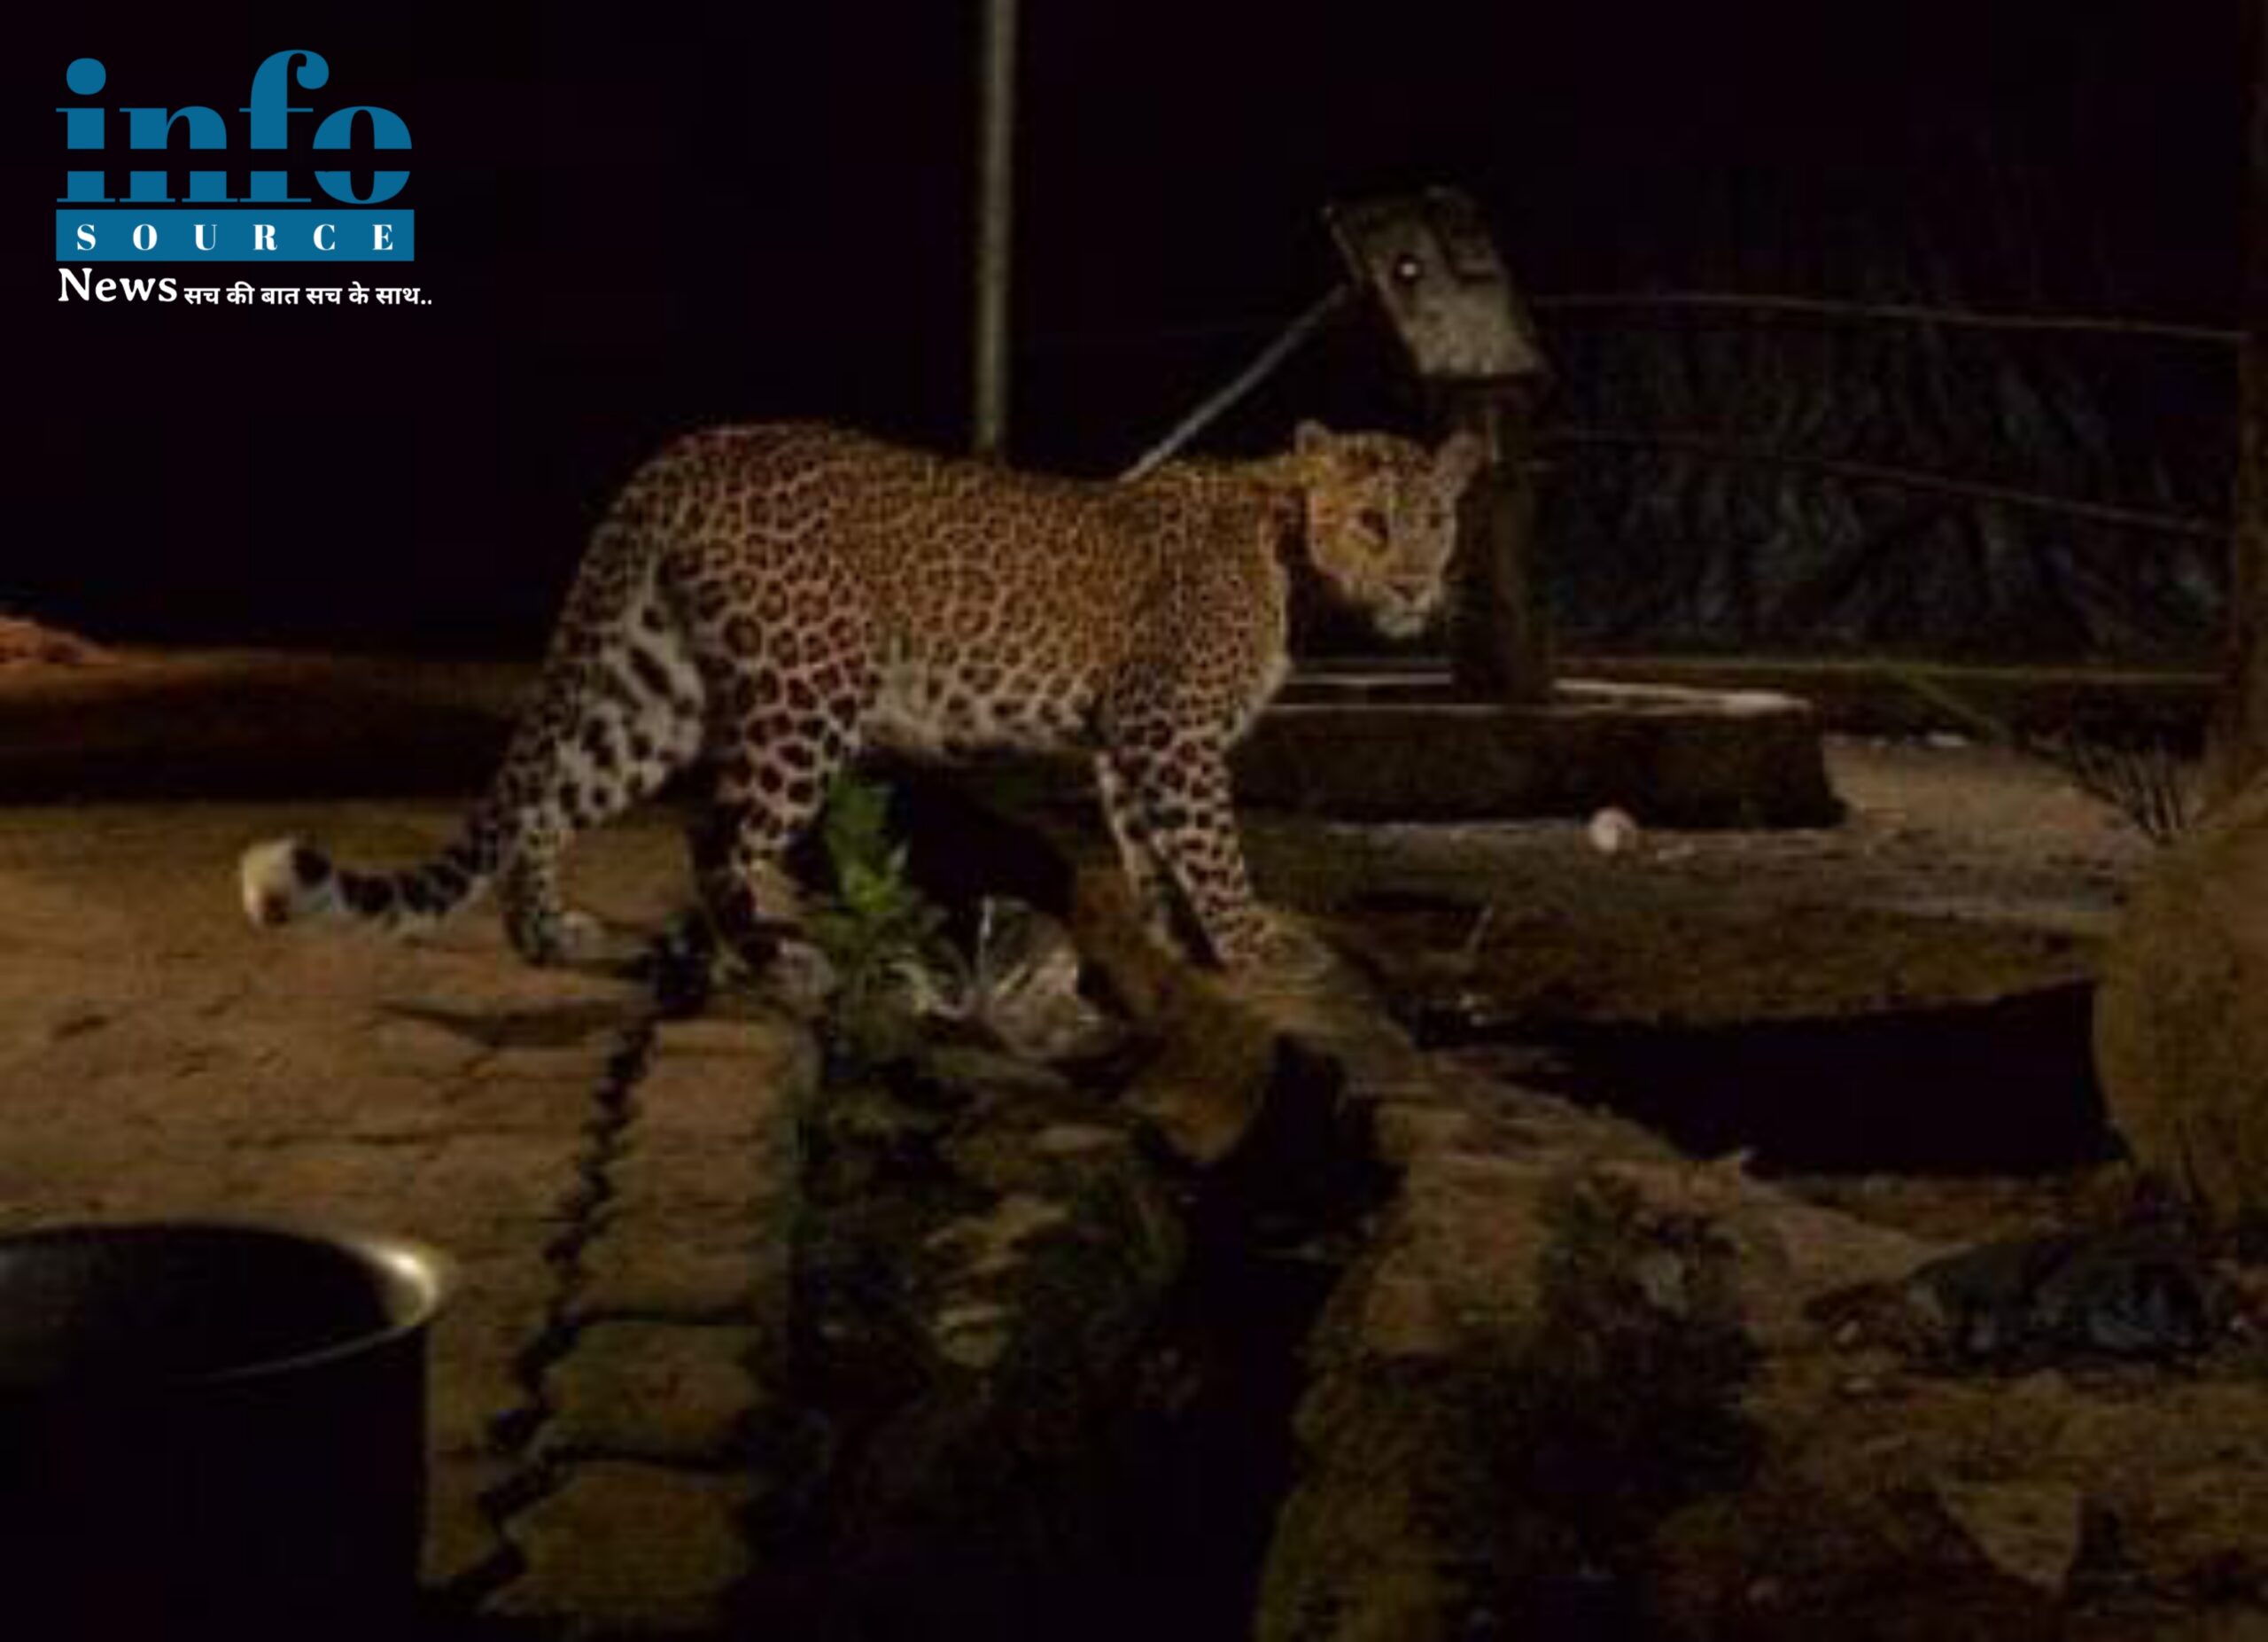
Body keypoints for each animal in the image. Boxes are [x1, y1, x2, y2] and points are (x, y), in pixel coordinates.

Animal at [239, 419, 1486, 974]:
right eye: (1372, 520)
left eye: (1436, 519)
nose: (1416, 584)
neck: (1290, 552)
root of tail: (687, 451)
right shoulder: (1169, 726)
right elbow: (1213, 844)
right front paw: (1254, 938)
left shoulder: (1131, 739)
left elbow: (1148, 842)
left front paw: (1177, 935)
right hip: (809, 691)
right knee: (716, 830)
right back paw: (767, 950)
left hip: (658, 686)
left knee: (552, 796)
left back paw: (547, 931)